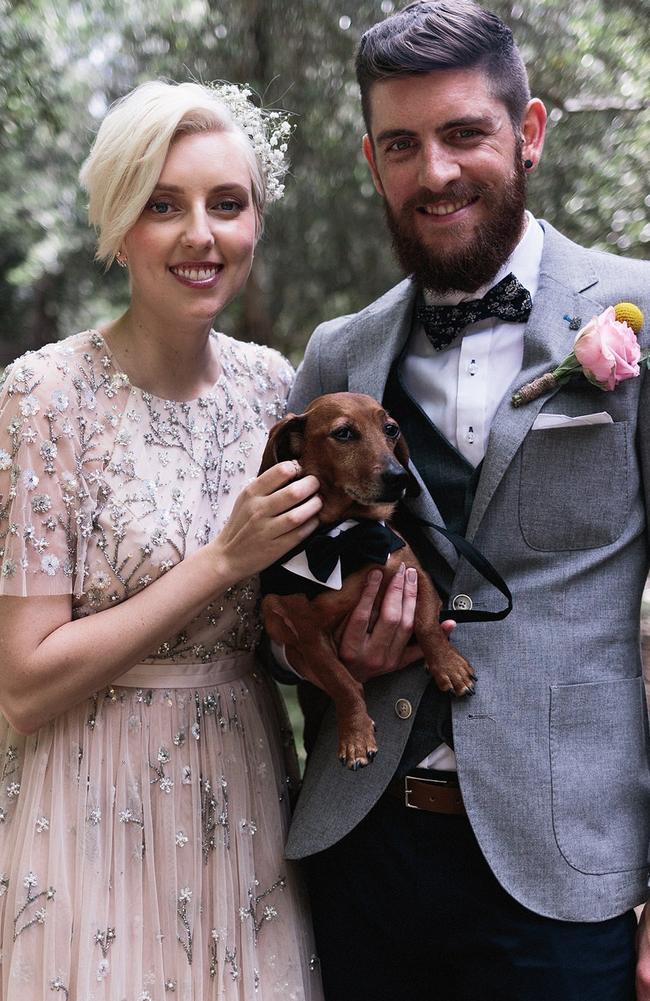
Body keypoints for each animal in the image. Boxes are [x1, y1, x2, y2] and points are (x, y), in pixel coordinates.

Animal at [258, 390, 476, 764]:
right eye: (343, 433)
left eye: (391, 429)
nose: (399, 476)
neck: (348, 536)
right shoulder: (307, 634)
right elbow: (343, 683)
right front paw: (356, 736)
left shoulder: (416, 577)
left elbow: (427, 627)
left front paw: (448, 666)